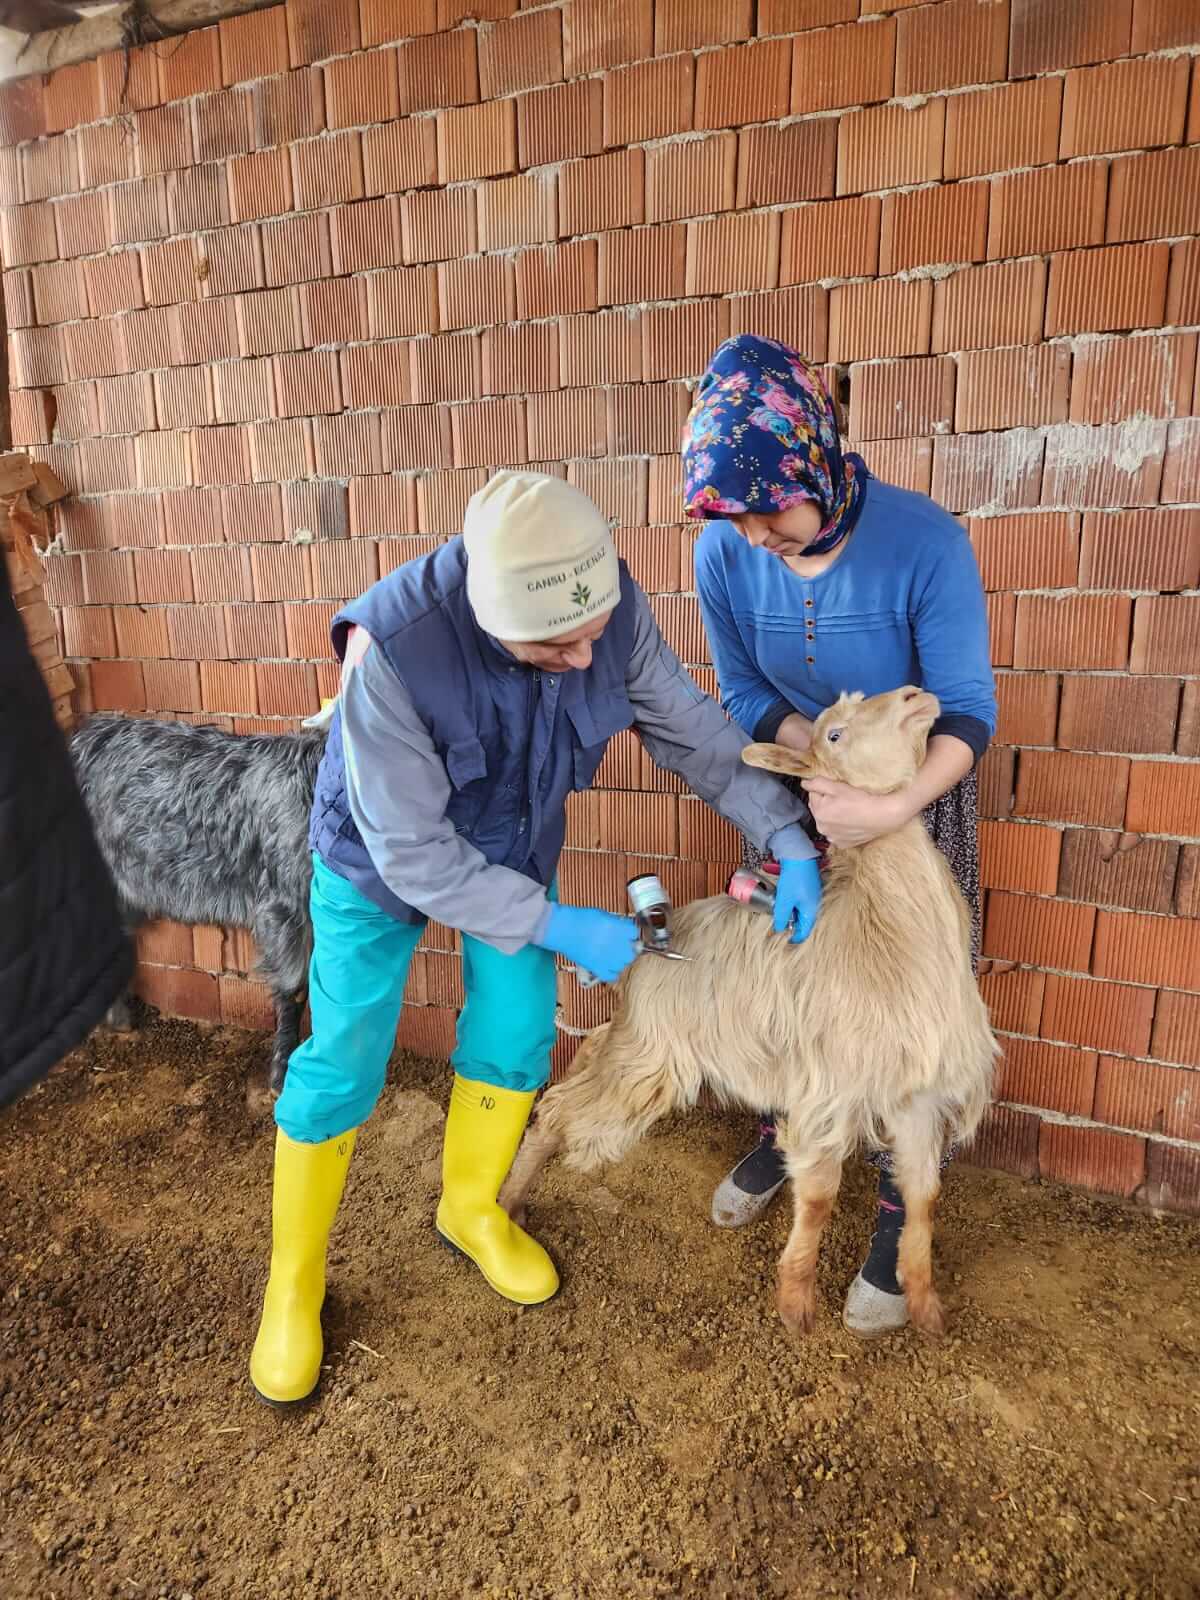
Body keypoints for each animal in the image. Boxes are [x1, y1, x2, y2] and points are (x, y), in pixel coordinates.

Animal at [502, 688, 998, 1337]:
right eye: (834, 733)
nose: (919, 696)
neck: (883, 930)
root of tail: (640, 949)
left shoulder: (915, 1095)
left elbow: (924, 1196)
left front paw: (924, 1305)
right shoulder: (827, 1093)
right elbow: (818, 1197)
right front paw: (796, 1305)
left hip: (635, 1042)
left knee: (583, 1058)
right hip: (649, 1061)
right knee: (559, 1111)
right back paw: (506, 1204)